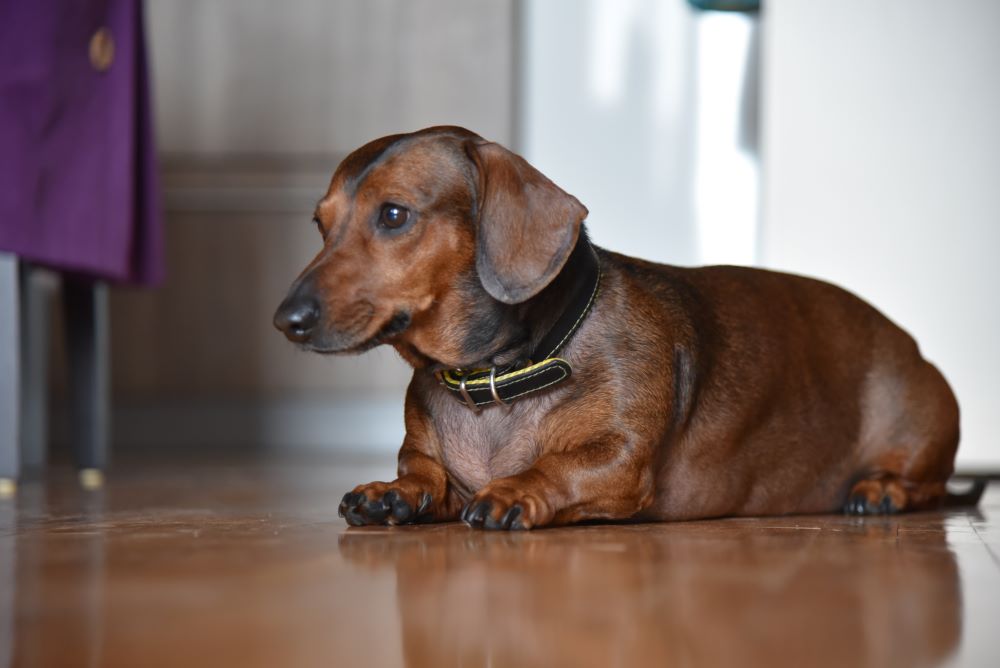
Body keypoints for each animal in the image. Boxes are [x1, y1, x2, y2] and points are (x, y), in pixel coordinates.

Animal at [274, 125, 968, 528]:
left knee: (933, 487)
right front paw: (391, 491)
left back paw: (883, 491)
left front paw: (509, 491)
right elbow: (424, 474)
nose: (285, 320)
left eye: (393, 214)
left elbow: (555, 468)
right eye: (320, 224)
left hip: (920, 419)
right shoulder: (427, 457)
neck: (495, 379)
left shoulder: (620, 463)